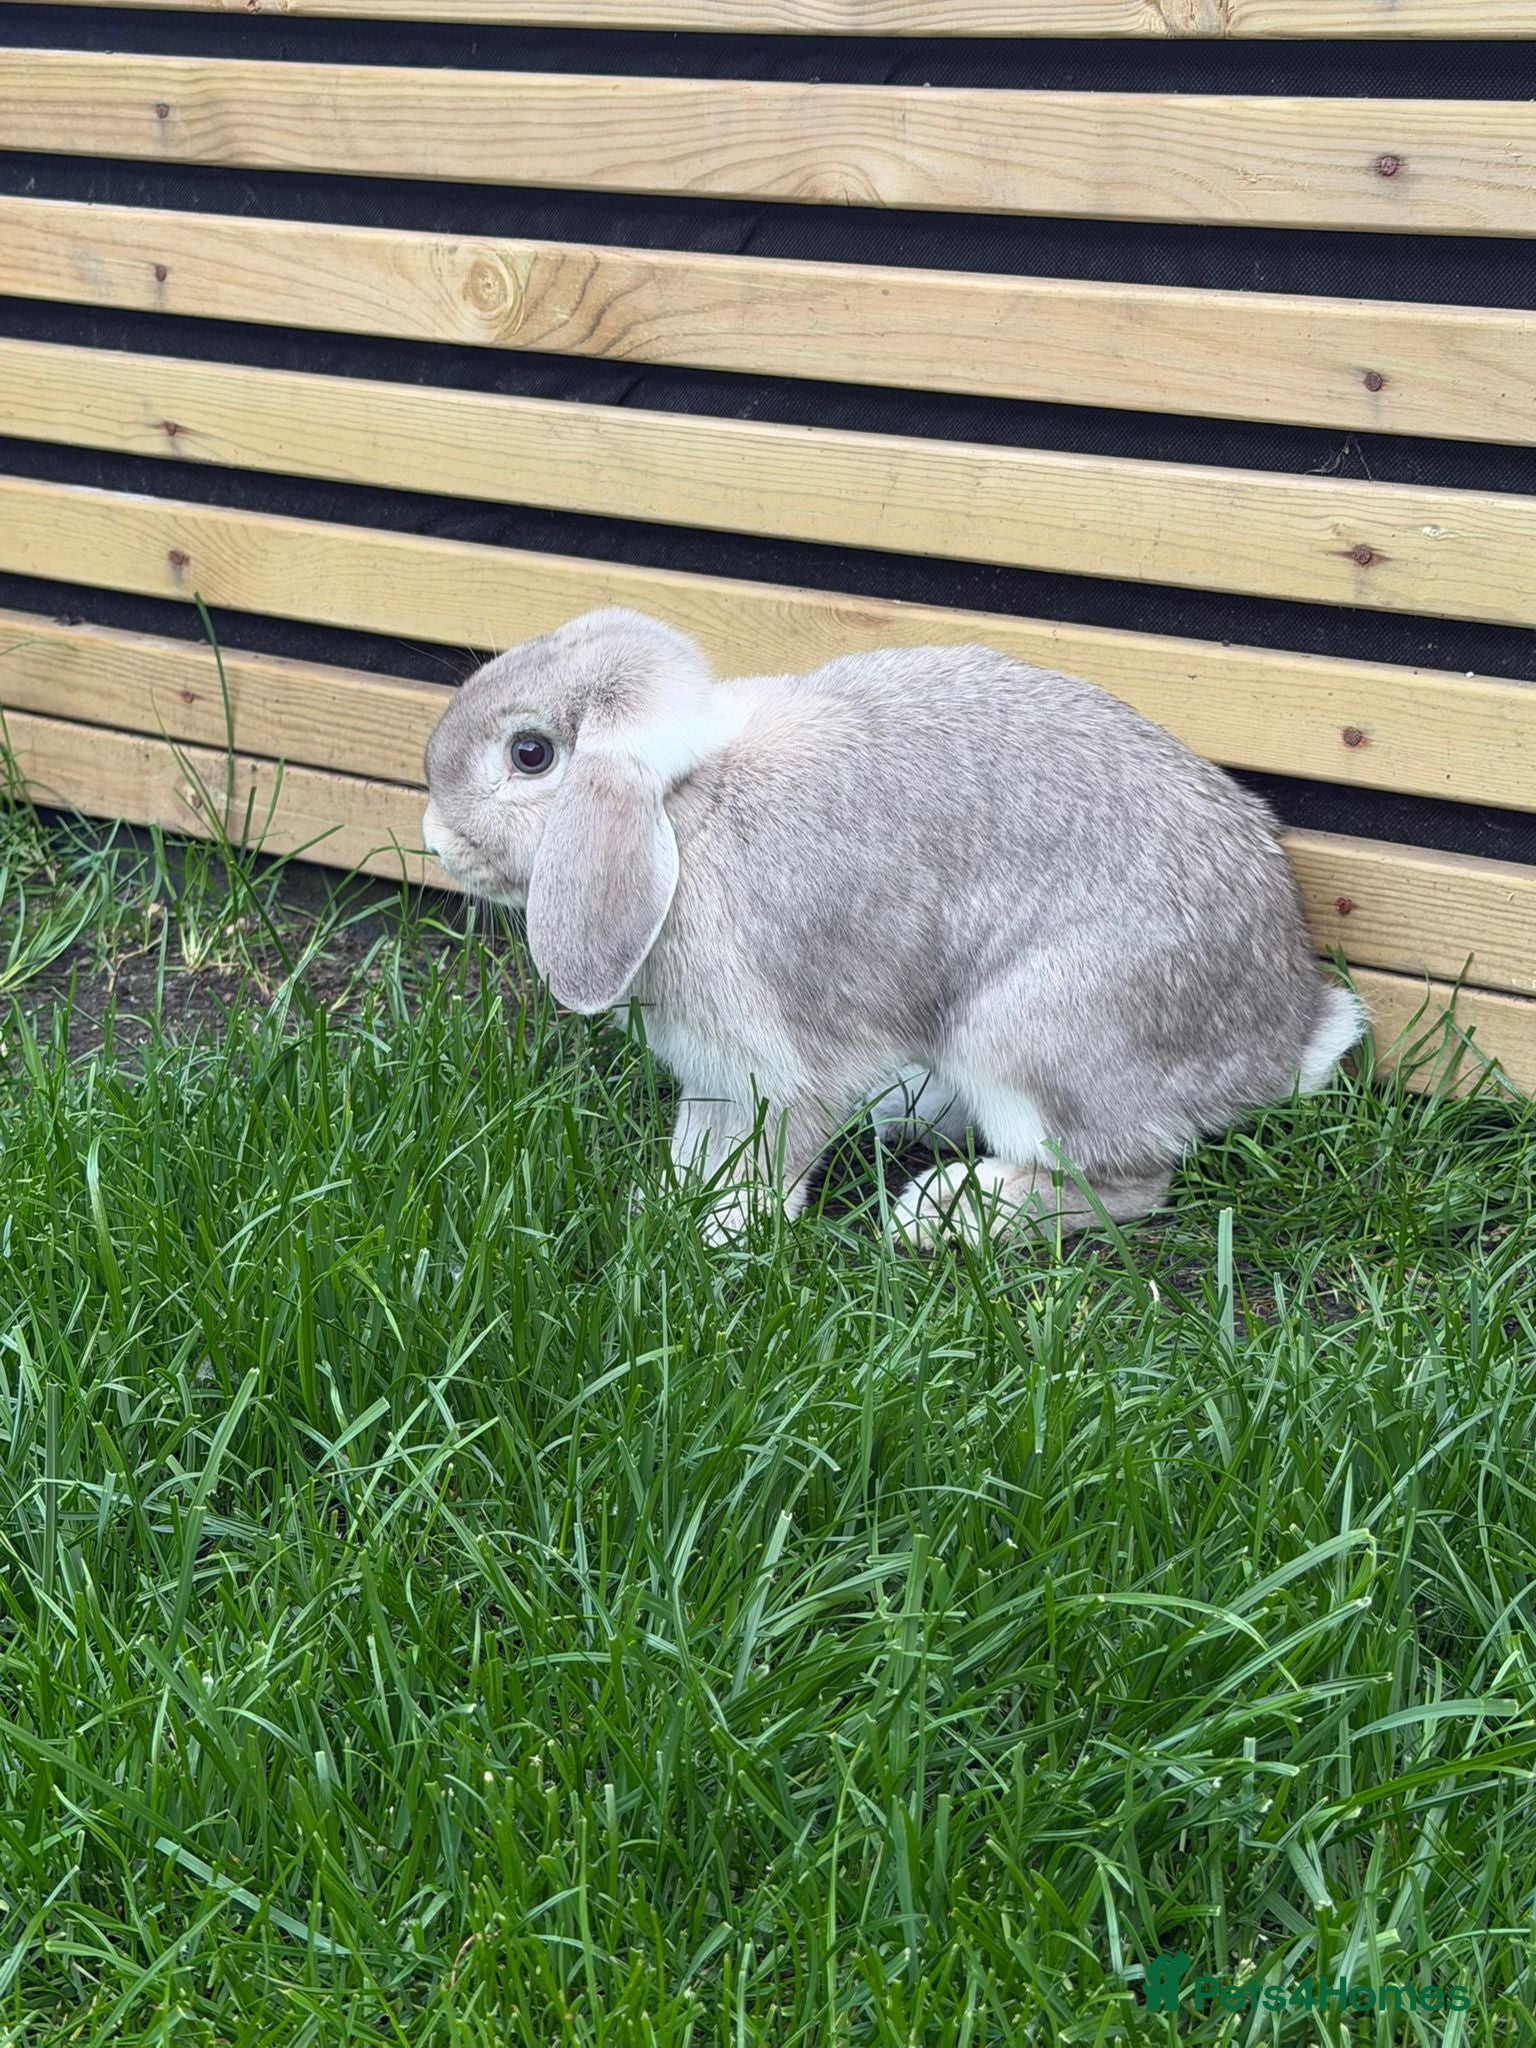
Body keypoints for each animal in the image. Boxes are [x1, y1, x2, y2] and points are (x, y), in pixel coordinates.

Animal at [421, 606, 1365, 1247]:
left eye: (531, 755)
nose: (435, 838)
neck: (680, 811)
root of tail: (1287, 1041)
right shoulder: (715, 1077)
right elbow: (703, 1142)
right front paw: (671, 1201)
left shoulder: (785, 1062)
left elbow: (774, 1150)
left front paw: (721, 1227)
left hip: (1033, 1036)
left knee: (1131, 1181)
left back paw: (946, 1212)